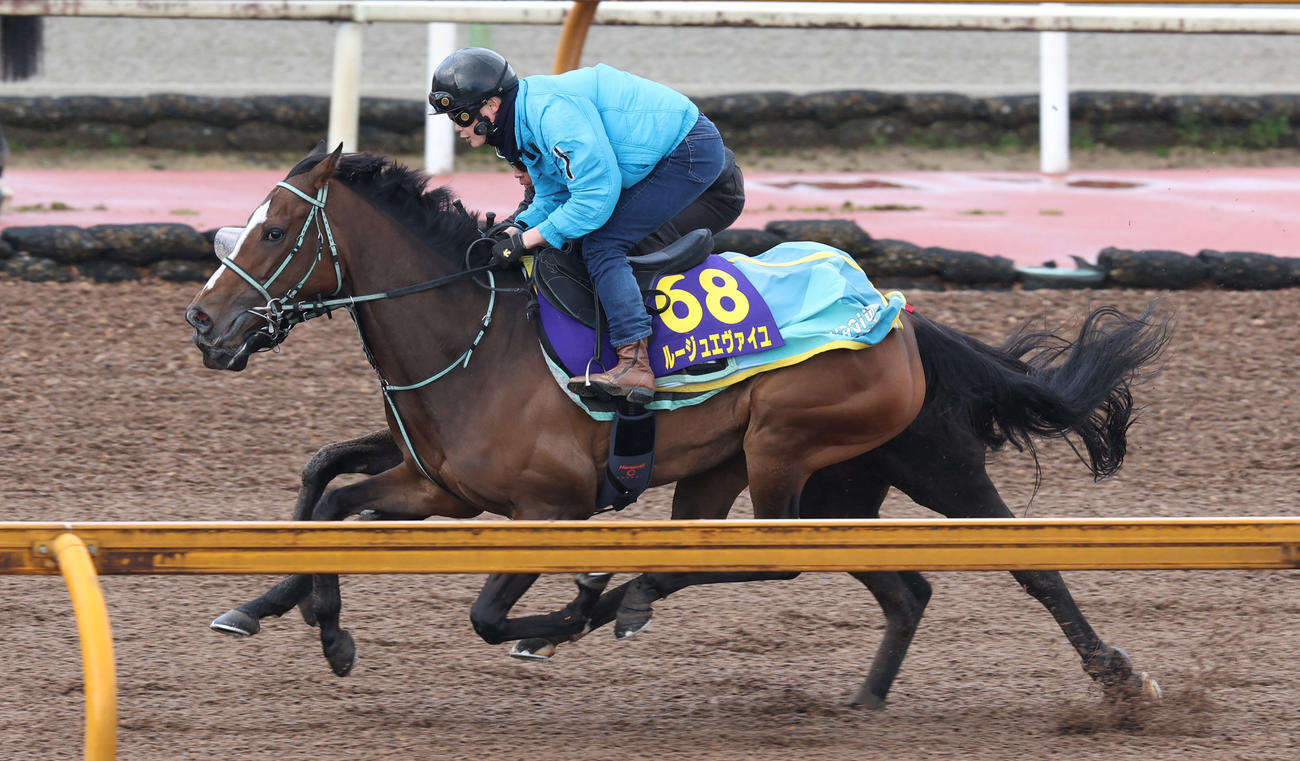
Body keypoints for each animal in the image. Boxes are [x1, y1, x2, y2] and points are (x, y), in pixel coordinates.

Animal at [186, 143, 1171, 706]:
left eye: (273, 231)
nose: (203, 322)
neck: (474, 334)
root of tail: (898, 316)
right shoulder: (439, 487)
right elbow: (328, 490)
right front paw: (300, 617)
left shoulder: (550, 509)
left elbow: (484, 614)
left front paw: (564, 613)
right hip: (822, 481)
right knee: (904, 589)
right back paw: (860, 700)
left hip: (835, 454)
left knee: (994, 562)